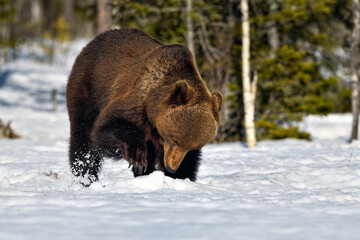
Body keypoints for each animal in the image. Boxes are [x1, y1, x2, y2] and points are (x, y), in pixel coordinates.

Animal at [65, 28, 221, 186]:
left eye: (191, 146)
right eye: (174, 139)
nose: (171, 167)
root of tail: (92, 42)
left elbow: (189, 161)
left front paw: (179, 177)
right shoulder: (139, 99)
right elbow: (107, 126)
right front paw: (137, 156)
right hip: (89, 87)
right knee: (84, 137)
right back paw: (85, 177)